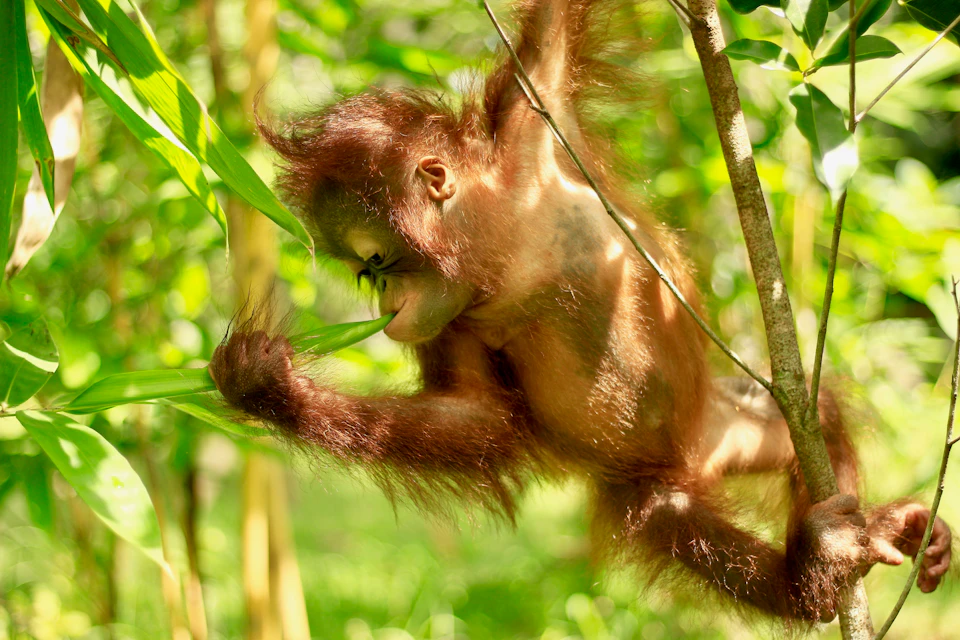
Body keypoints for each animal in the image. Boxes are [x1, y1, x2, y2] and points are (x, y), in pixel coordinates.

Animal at [208, 0, 952, 622]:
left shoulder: (529, 112)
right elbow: (474, 415)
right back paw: (818, 573)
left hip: (732, 423)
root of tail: (695, 458)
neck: (503, 237)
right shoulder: (452, 320)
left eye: (376, 263)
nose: (387, 306)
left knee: (815, 415)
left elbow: (554, 25)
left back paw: (887, 532)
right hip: (649, 483)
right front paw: (267, 386)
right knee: (680, 524)